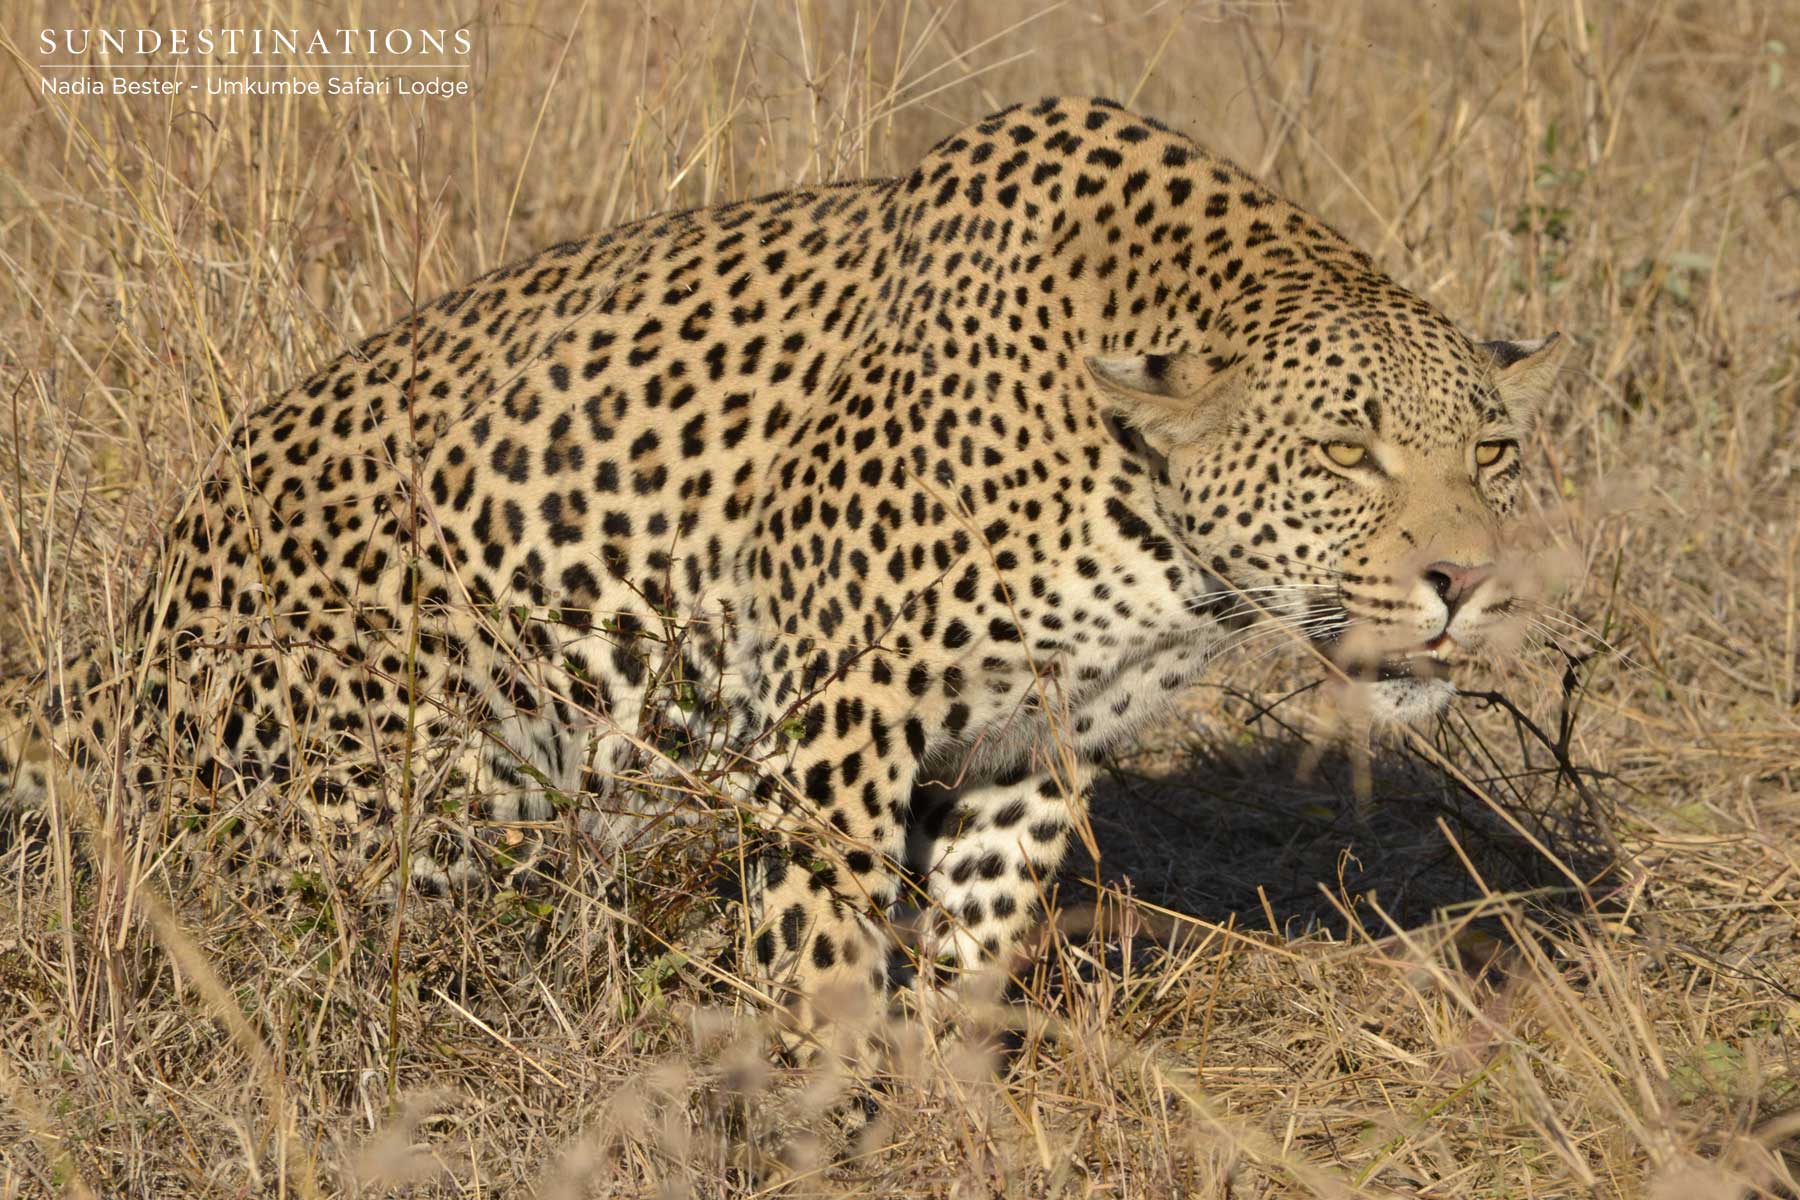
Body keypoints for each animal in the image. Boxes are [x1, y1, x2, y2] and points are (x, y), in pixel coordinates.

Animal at [1, 96, 1566, 1040]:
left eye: (1494, 452)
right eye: (1347, 452)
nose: (1467, 582)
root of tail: (124, 630)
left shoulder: (1028, 742)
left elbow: (974, 937)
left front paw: (939, 1104)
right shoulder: (842, 719)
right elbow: (822, 951)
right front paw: (822, 1105)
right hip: (402, 792)